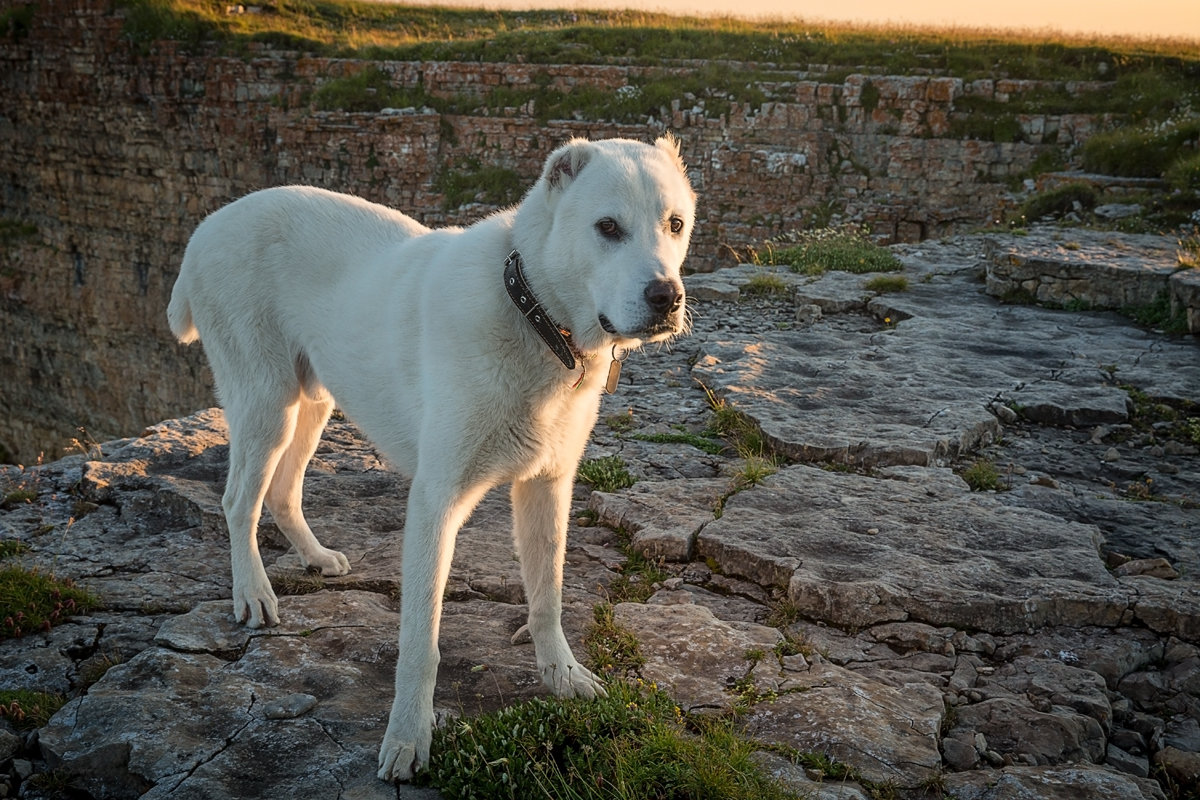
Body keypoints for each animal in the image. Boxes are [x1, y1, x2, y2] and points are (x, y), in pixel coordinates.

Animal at [166, 136, 696, 782]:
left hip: (312, 400)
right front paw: (406, 738)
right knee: (239, 499)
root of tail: (206, 228)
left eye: (675, 224)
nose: (666, 297)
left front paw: (562, 674)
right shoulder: (435, 501)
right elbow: (422, 639)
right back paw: (253, 593)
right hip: (266, 403)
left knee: (283, 491)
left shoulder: (547, 488)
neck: (534, 315)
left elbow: (548, 595)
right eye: (608, 227)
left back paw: (315, 557)